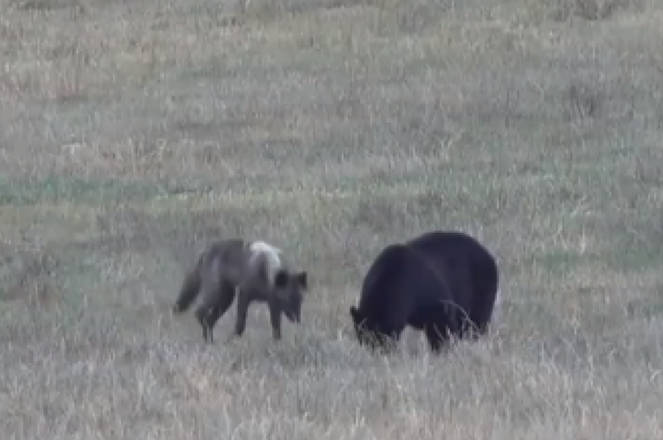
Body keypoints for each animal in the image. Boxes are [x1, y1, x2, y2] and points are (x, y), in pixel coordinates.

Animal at [172, 239, 308, 343]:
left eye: (300, 300)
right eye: (288, 299)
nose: (297, 320)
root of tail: (207, 250)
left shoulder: (274, 305)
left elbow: (276, 329)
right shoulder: (244, 295)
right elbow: (240, 325)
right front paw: (231, 341)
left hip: (226, 299)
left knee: (209, 319)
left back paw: (210, 342)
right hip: (218, 295)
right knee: (199, 313)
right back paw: (208, 340)